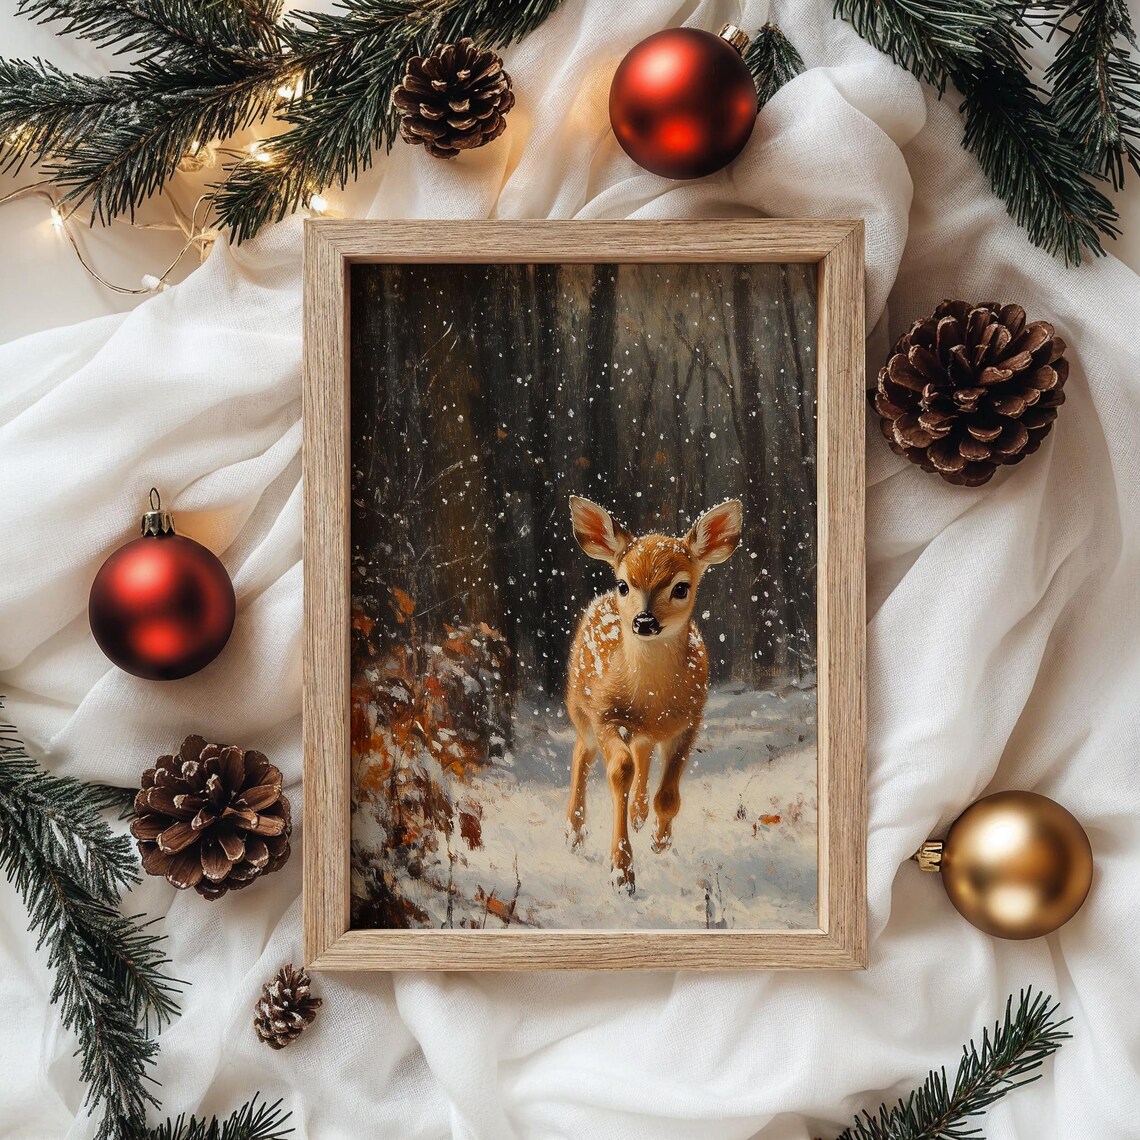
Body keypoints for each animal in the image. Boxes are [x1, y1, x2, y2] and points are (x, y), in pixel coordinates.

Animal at [564, 494, 743, 895]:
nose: (644, 621)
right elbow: (620, 770)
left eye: (681, 587)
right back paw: (573, 832)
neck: (651, 698)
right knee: (583, 753)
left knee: (642, 753)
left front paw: (660, 841)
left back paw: (639, 815)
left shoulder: (690, 720)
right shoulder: (606, 714)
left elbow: (669, 796)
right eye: (624, 584)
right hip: (580, 708)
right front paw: (621, 873)